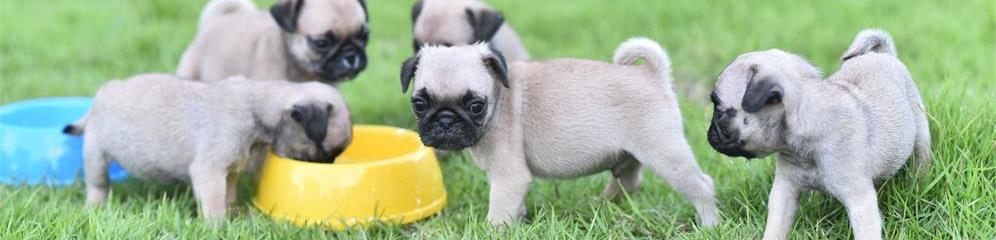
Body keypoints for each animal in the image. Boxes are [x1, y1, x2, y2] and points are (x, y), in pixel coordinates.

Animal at [63, 74, 354, 222]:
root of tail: (102, 94)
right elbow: (214, 203)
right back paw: (95, 206)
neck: (255, 107)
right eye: (326, 153)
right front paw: (218, 226)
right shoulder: (210, 172)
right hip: (96, 153)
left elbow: (229, 193)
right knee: (98, 185)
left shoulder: (231, 170)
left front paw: (233, 212)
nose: (327, 165)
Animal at [704, 29, 928, 239]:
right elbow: (776, 225)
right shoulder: (785, 190)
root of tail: (882, 54)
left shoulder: (860, 200)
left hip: (920, 131)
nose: (709, 134)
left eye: (719, 111)